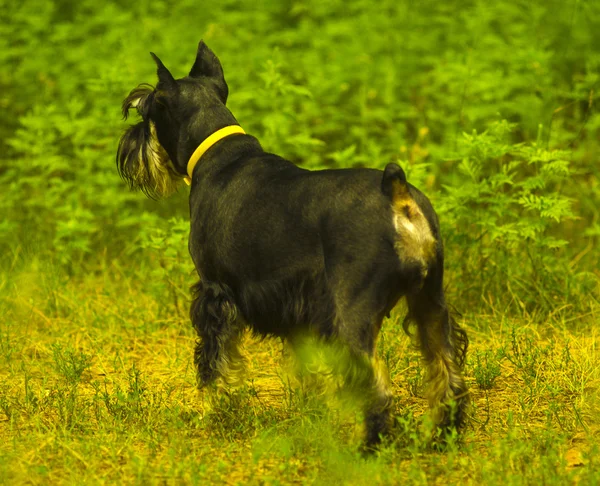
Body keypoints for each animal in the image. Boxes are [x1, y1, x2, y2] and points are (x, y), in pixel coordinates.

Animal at [117, 41, 468, 448]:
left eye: (146, 108)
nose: (127, 146)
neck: (218, 155)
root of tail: (397, 195)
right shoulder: (294, 309)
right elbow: (305, 366)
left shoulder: (215, 294)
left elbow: (215, 363)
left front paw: (213, 412)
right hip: (430, 301)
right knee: (446, 367)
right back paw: (443, 433)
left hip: (353, 313)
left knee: (376, 382)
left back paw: (369, 445)